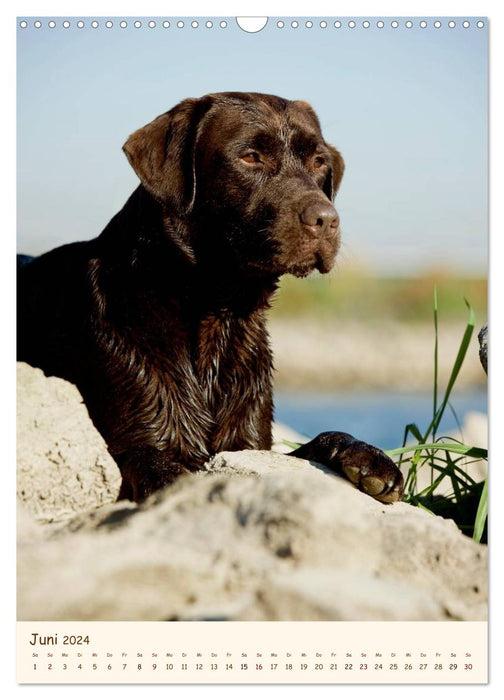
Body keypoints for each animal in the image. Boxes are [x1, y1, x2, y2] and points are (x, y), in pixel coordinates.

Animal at [15, 91, 404, 504]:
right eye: (250, 156)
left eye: (319, 161)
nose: (327, 220)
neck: (218, 313)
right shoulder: (137, 441)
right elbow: (156, 465)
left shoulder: (249, 443)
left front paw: (366, 456)